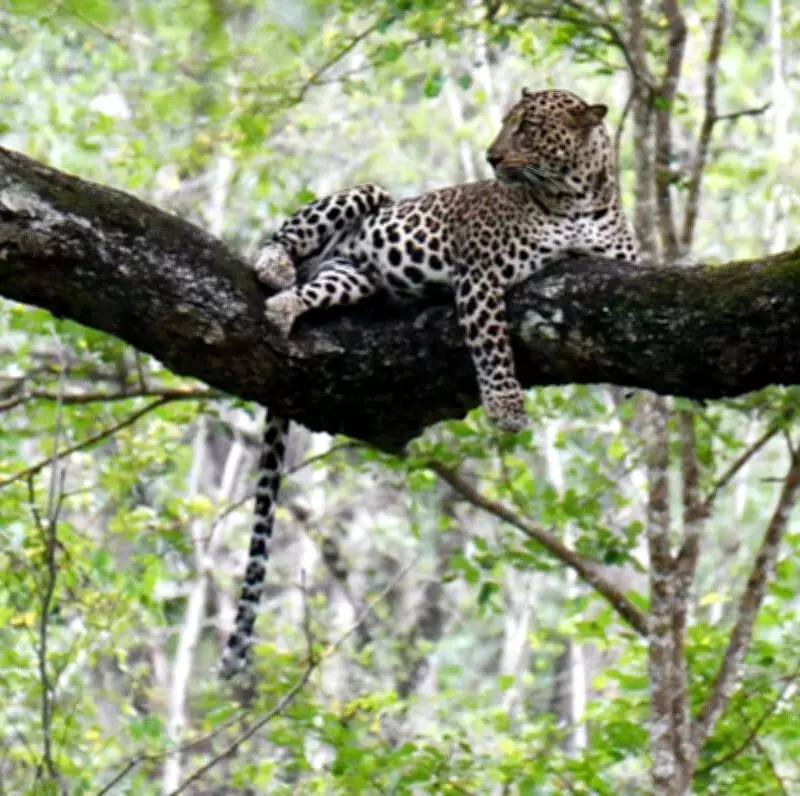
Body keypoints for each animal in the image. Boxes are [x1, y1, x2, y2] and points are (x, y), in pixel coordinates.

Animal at [219, 88, 639, 678]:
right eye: (507, 123)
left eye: (529, 128)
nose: (491, 157)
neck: (577, 198)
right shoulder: (481, 274)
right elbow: (492, 347)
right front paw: (506, 409)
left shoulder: (625, 267)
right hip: (365, 194)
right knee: (283, 237)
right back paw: (274, 269)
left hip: (351, 278)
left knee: (311, 291)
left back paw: (284, 307)